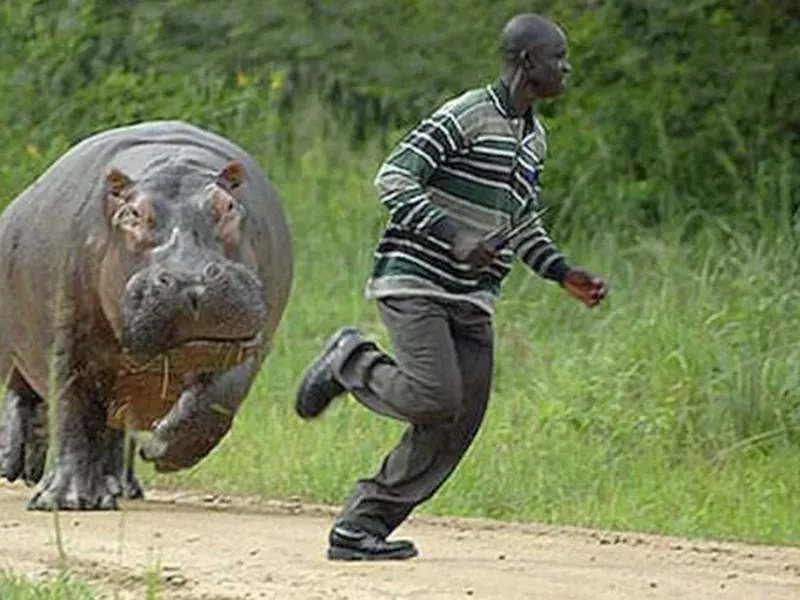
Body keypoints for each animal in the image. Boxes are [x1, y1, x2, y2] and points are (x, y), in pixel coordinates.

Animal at [0, 119, 294, 508]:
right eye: (133, 214)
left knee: (110, 427)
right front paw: (65, 500)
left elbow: (218, 400)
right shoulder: (65, 334)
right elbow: (70, 407)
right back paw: (18, 464)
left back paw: (116, 487)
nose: (191, 281)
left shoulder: (251, 342)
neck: (173, 163)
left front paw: (159, 446)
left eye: (229, 206)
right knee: (26, 391)